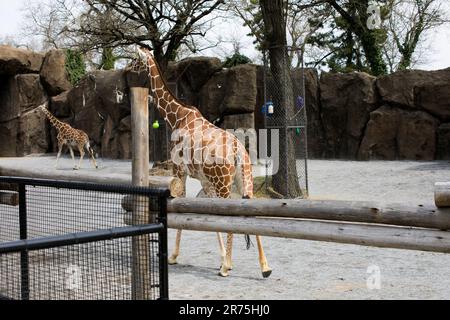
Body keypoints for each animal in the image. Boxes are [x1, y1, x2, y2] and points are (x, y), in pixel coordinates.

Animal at [135, 47, 272, 278]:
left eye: (134, 60)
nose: (126, 70)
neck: (177, 117)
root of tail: (238, 152)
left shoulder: (179, 171)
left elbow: (182, 210)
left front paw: (174, 257)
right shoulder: (205, 181)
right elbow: (211, 216)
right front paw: (222, 257)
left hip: (224, 184)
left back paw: (227, 267)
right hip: (244, 182)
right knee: (251, 214)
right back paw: (265, 268)